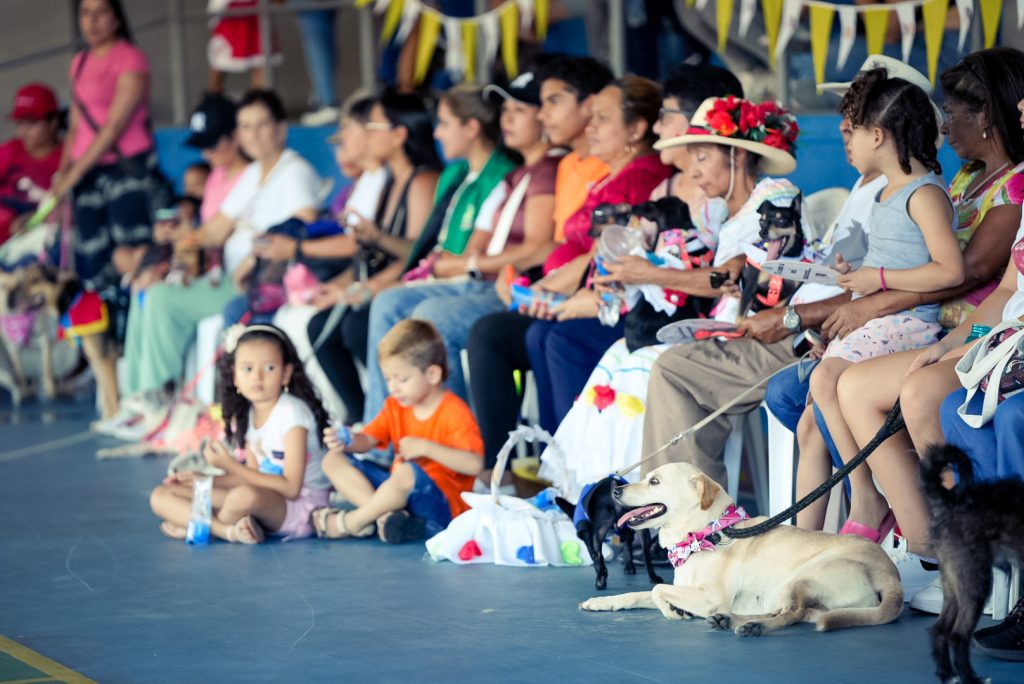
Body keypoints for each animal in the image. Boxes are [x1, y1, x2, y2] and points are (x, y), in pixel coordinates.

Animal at [581, 462, 901, 634]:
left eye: (655, 481)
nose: (615, 490)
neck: (705, 532)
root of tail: (892, 577)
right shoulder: (685, 590)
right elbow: (637, 593)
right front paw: (600, 602)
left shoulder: (710, 596)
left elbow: (658, 590)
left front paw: (673, 612)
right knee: (798, 613)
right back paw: (730, 620)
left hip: (803, 577)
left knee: (793, 613)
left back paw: (752, 627)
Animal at [921, 444, 1024, 684]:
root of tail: (949, 501)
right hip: (976, 582)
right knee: (958, 635)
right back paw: (969, 678)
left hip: (954, 583)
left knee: (940, 629)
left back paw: (947, 674)